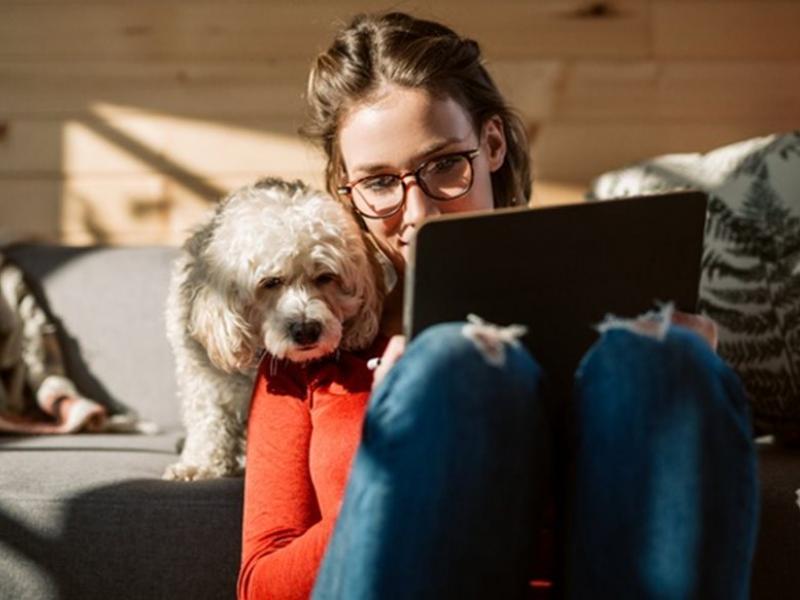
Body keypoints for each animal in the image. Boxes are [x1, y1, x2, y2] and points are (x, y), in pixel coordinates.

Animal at [163, 176, 384, 480]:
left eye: (326, 276)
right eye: (271, 282)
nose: (306, 330)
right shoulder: (203, 377)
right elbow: (209, 419)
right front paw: (200, 464)